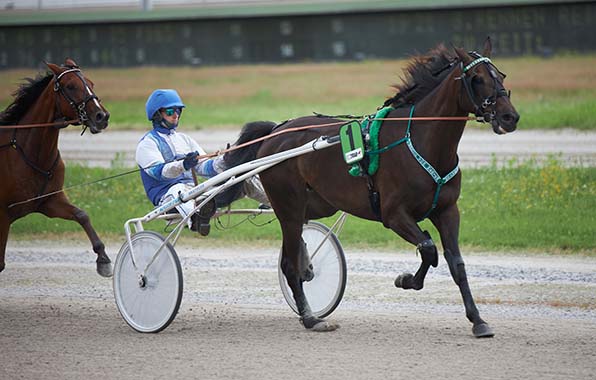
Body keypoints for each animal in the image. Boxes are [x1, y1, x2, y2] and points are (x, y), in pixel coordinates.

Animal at [0, 59, 112, 278]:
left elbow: (81, 215)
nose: (102, 116)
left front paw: (103, 258)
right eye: (70, 86)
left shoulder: (49, 201)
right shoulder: (3, 214)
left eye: (91, 83)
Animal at [226, 37, 520, 336]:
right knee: (288, 262)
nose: (510, 117)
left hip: (319, 203)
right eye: (477, 78)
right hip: (289, 204)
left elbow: (456, 263)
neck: (421, 141)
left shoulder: (447, 210)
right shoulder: (394, 214)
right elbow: (428, 248)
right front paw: (406, 279)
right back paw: (311, 318)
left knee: (296, 244)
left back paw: (306, 275)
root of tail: (275, 132)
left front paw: (478, 320)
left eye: (501, 75)